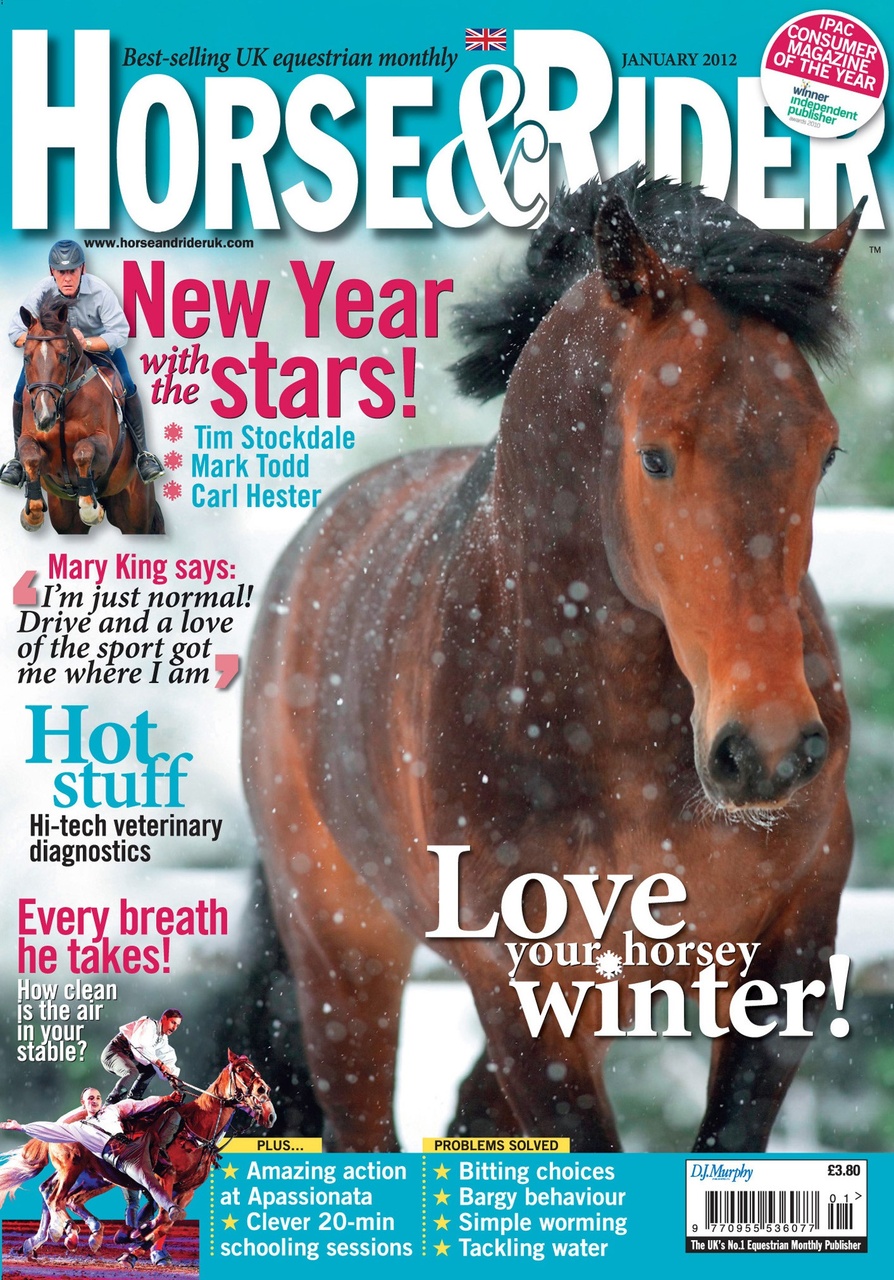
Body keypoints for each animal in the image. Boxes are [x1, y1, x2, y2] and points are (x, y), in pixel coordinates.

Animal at [0, 1050, 275, 1265]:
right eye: (240, 1070)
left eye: (255, 1068)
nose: (265, 1097)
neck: (193, 1129)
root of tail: (62, 1120)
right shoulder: (165, 1177)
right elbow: (163, 1215)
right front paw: (137, 1242)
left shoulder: (187, 1190)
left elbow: (166, 1220)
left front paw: (145, 1246)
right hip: (73, 1168)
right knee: (56, 1197)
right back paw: (67, 1234)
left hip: (96, 1177)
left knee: (62, 1195)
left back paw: (56, 1239)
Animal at [242, 165, 861, 1153]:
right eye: (654, 457)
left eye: (824, 449)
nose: (767, 752)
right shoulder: (522, 992)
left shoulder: (790, 954)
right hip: (341, 953)